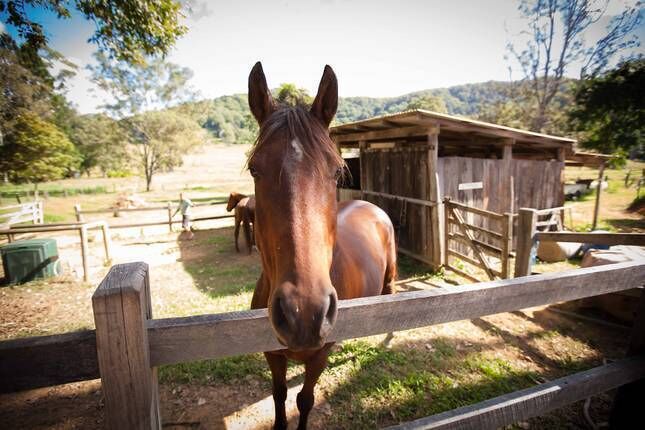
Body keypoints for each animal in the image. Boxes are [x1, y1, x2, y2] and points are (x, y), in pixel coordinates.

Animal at [247, 61, 398, 430]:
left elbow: (304, 400)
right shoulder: (272, 354)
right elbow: (279, 396)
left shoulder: (320, 355)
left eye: (336, 172)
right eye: (255, 169)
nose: (304, 312)